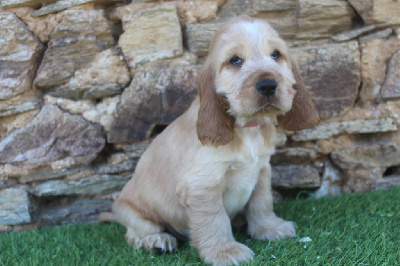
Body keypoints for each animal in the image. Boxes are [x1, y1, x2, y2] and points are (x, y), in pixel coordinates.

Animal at [100, 15, 318, 264]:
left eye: (276, 55)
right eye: (235, 60)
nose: (268, 85)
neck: (247, 128)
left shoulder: (262, 169)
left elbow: (261, 202)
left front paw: (270, 228)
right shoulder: (202, 184)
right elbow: (215, 219)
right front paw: (225, 252)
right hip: (134, 213)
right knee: (135, 234)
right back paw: (156, 241)